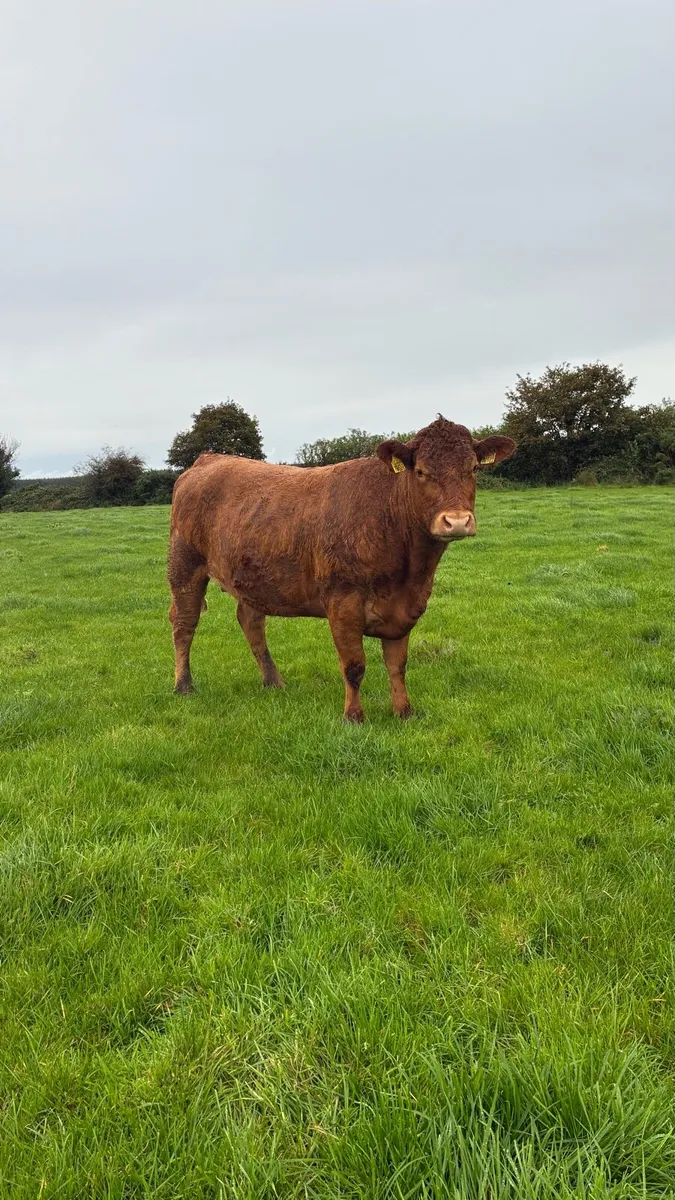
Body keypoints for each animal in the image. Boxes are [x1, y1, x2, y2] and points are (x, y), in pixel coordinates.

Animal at [168, 417, 516, 721]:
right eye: (420, 471)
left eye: (473, 469)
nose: (456, 521)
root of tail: (209, 458)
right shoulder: (343, 602)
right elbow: (354, 665)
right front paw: (353, 716)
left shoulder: (404, 607)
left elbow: (397, 665)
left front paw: (404, 712)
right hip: (184, 565)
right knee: (184, 623)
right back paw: (184, 685)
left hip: (251, 576)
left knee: (250, 621)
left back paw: (273, 681)